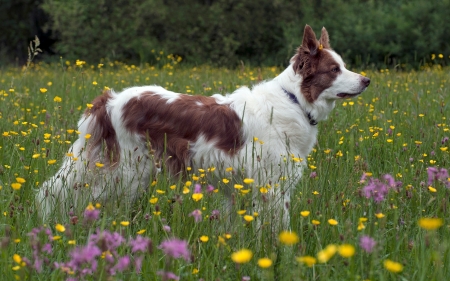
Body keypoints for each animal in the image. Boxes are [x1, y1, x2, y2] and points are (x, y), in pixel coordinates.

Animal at [37, 24, 370, 228]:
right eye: (334, 69)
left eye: (342, 65)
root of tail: (110, 99)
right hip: (129, 172)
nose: (367, 80)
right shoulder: (271, 185)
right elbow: (276, 228)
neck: (294, 100)